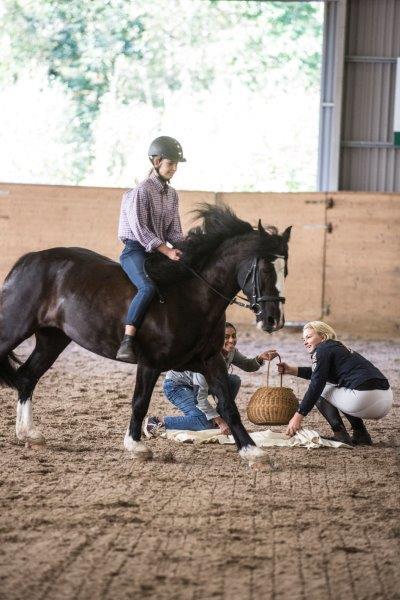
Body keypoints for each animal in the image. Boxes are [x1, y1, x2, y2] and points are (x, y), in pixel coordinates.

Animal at [0, 204, 290, 462]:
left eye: (285, 270)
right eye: (265, 269)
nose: (274, 320)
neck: (191, 296)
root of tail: (27, 261)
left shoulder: (212, 361)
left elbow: (228, 405)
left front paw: (252, 452)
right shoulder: (150, 363)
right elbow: (140, 401)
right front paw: (136, 446)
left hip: (53, 339)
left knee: (28, 377)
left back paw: (29, 434)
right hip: (14, 328)